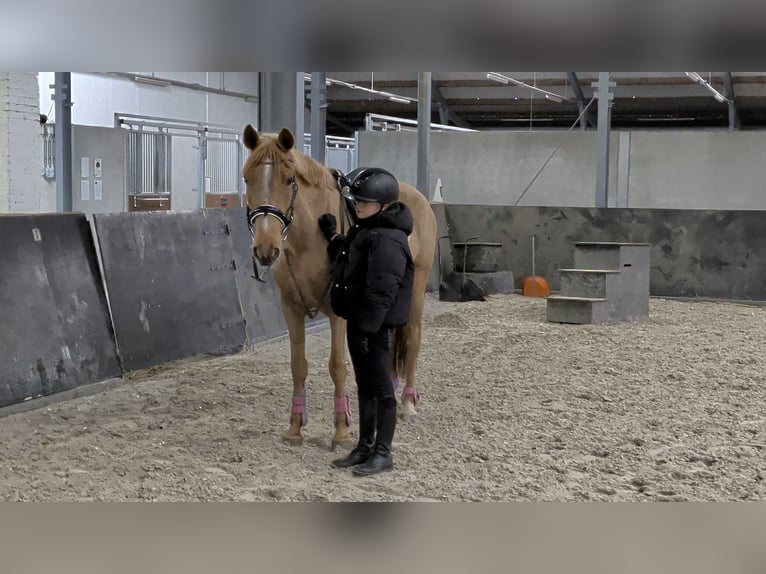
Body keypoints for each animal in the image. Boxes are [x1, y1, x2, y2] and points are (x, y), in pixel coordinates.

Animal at [242, 125, 437, 448]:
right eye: (247, 178)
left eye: (289, 180)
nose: (266, 249)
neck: (309, 240)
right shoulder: (291, 309)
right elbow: (298, 365)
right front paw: (295, 427)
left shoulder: (338, 312)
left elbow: (337, 366)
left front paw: (342, 430)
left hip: (416, 292)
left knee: (413, 340)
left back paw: (409, 402)